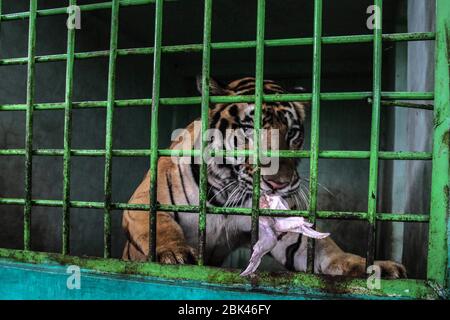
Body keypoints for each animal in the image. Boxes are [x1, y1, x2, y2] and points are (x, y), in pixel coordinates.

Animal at [120, 76, 408, 278]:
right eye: (249, 129)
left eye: (292, 133)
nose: (279, 183)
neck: (226, 189)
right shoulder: (144, 199)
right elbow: (158, 226)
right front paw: (174, 252)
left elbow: (323, 250)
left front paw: (371, 266)